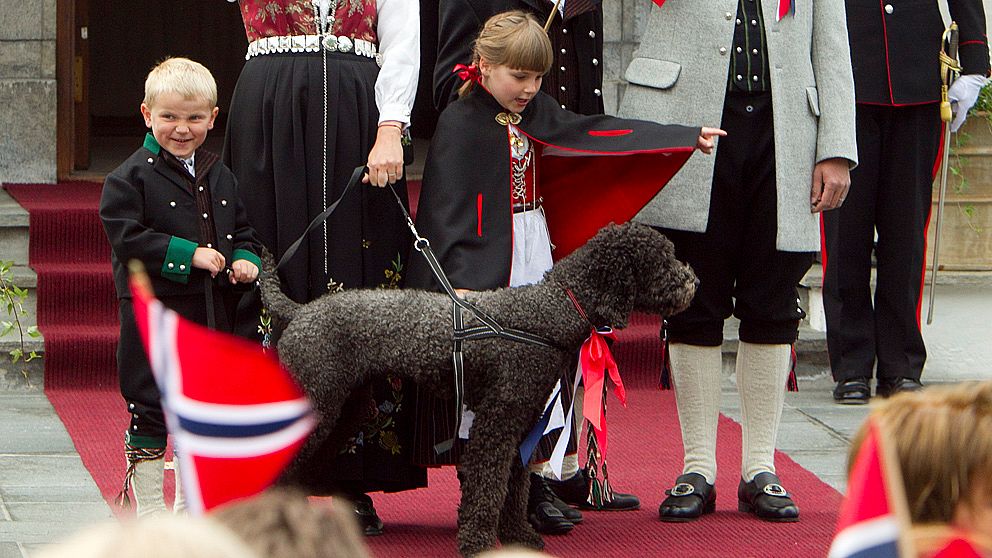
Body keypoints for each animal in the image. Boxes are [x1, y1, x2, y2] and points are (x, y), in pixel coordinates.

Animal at [260, 222, 692, 556]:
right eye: (662, 259)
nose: (693, 280)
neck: (547, 311)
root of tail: (303, 310)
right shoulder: (496, 425)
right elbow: (488, 486)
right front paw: (478, 541)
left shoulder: (520, 425)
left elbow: (514, 487)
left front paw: (518, 536)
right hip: (319, 402)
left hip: (347, 408)